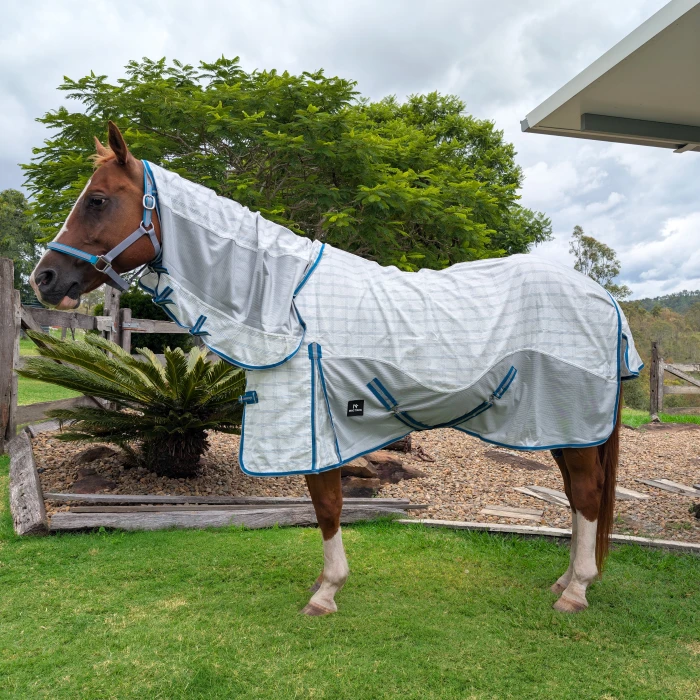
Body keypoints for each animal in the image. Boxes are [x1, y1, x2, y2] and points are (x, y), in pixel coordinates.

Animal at [32, 123, 620, 616]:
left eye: (98, 200)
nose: (44, 277)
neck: (283, 299)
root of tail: (604, 298)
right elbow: (325, 509)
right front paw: (324, 584)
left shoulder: (313, 429)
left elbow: (328, 508)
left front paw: (326, 592)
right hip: (562, 429)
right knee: (576, 497)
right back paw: (566, 580)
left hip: (573, 423)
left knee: (588, 496)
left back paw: (576, 590)